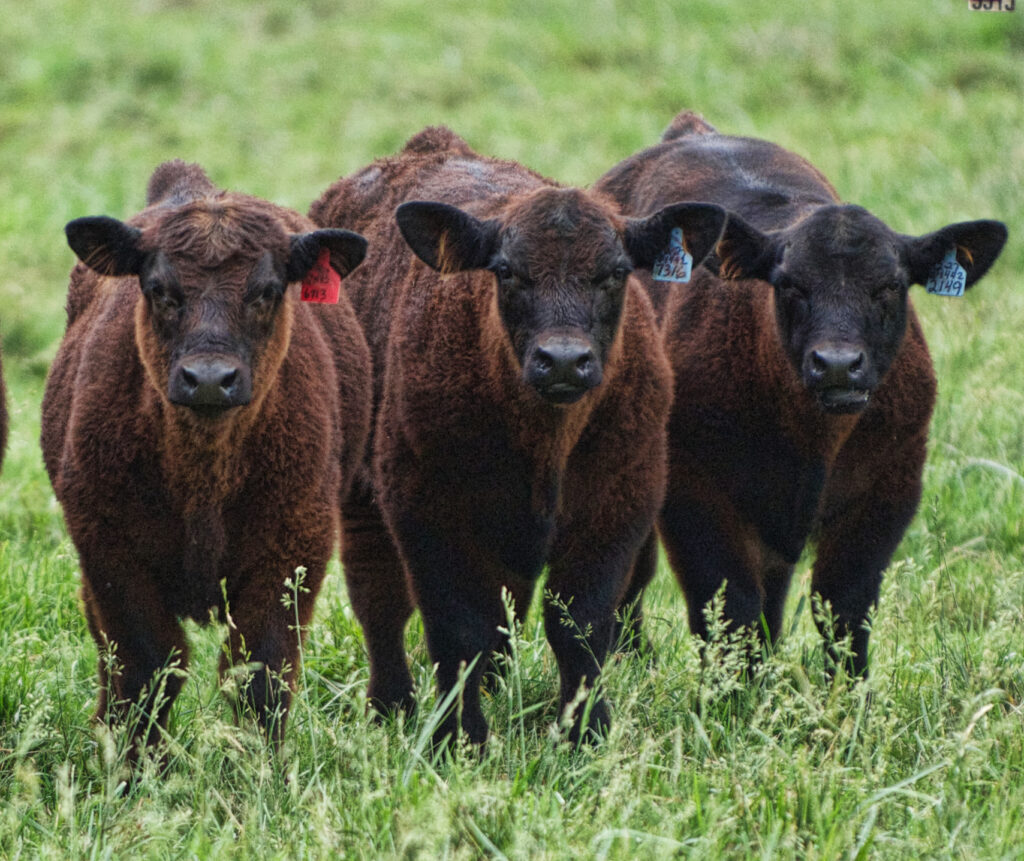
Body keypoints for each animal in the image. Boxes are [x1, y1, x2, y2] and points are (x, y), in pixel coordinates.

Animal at [44, 161, 374, 757]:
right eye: (158, 289)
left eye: (267, 291)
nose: (209, 379)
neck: (203, 474)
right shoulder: (109, 552)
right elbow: (147, 668)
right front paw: (130, 767)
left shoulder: (296, 548)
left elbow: (258, 675)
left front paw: (260, 770)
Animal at [311, 127, 729, 745]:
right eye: (507, 272)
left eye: (615, 272)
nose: (564, 360)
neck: (545, 447)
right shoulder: (428, 510)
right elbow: (457, 631)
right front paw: (460, 738)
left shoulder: (618, 506)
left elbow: (580, 627)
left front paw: (586, 731)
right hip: (362, 497)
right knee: (379, 601)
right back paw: (392, 705)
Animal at [598, 111, 1003, 675]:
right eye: (790, 284)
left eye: (889, 286)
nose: (837, 364)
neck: (811, 439)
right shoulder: (695, 491)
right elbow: (728, 609)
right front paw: (734, 694)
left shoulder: (890, 486)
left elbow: (842, 606)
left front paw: (847, 693)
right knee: (632, 575)